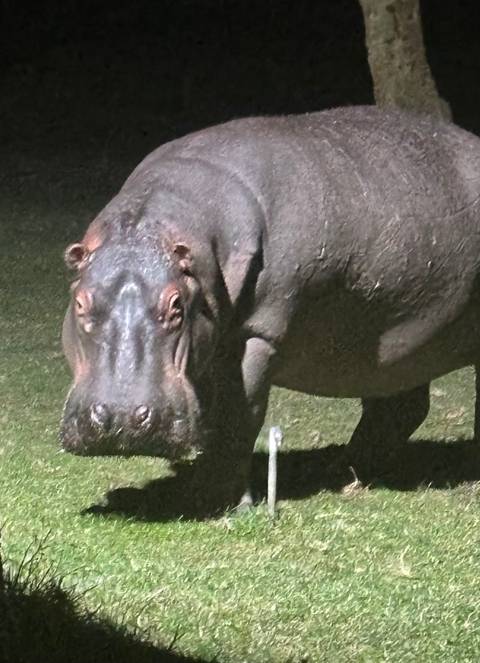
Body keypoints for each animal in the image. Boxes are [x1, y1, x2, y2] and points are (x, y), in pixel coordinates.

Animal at [61, 105, 480, 508]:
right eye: (79, 302)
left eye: (176, 305)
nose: (120, 417)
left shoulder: (258, 334)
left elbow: (237, 414)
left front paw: (211, 499)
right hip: (397, 334)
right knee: (400, 404)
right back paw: (346, 470)